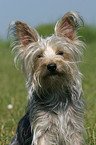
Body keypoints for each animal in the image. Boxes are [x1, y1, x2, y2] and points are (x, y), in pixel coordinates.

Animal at [8, 11, 86, 145]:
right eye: (39, 56)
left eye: (60, 53)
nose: (51, 66)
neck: (55, 90)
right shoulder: (43, 128)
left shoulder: (73, 127)